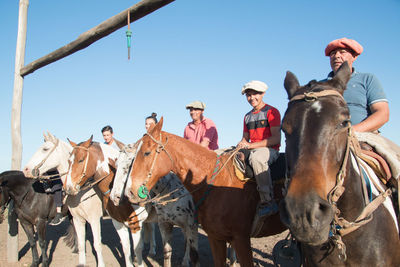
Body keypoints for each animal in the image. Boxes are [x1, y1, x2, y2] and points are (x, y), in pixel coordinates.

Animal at [22, 134, 156, 267]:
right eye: (69, 160)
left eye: (45, 149)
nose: (26, 170)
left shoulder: (96, 219)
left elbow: (98, 244)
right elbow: (83, 244)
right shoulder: (79, 219)